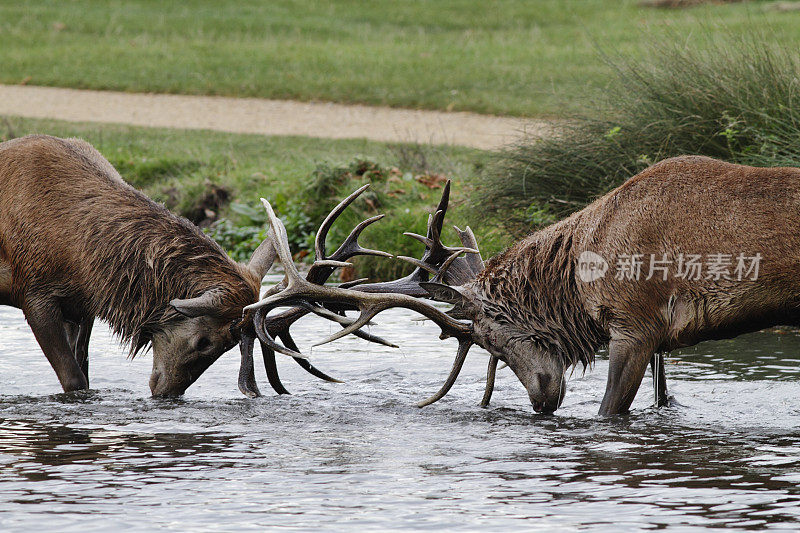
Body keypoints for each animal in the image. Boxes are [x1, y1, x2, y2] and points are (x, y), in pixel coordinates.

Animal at [0, 135, 356, 396]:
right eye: (205, 342)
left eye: (229, 347)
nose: (168, 392)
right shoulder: (34, 294)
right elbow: (73, 380)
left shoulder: (84, 306)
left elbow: (85, 374)